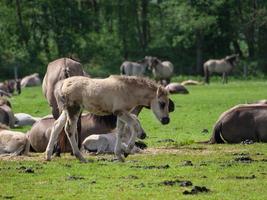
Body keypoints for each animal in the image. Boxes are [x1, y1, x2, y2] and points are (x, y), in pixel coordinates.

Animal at [45, 75, 173, 162]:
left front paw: (119, 156)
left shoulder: (121, 114)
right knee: (69, 129)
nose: (166, 120)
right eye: (162, 103)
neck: (128, 90)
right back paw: (80, 157)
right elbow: (134, 126)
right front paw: (127, 151)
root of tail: (63, 83)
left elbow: (120, 132)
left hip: (67, 111)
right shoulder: (120, 112)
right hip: (74, 109)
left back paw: (48, 156)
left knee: (56, 126)